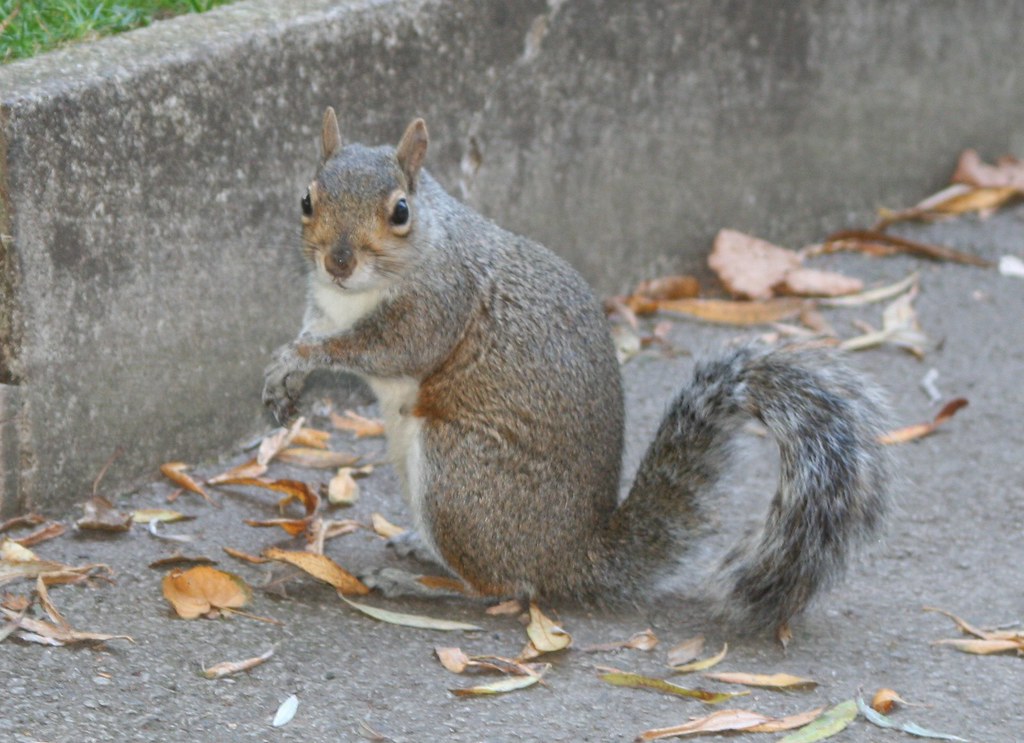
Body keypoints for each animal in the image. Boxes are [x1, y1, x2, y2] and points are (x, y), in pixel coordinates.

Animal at [262, 108, 891, 634]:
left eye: (400, 212)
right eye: (306, 200)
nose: (338, 261)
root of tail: (573, 555)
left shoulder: (440, 305)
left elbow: (386, 349)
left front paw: (302, 359)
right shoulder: (323, 305)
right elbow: (314, 331)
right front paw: (284, 373)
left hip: (460, 476)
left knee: (504, 586)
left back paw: (417, 583)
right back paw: (420, 549)